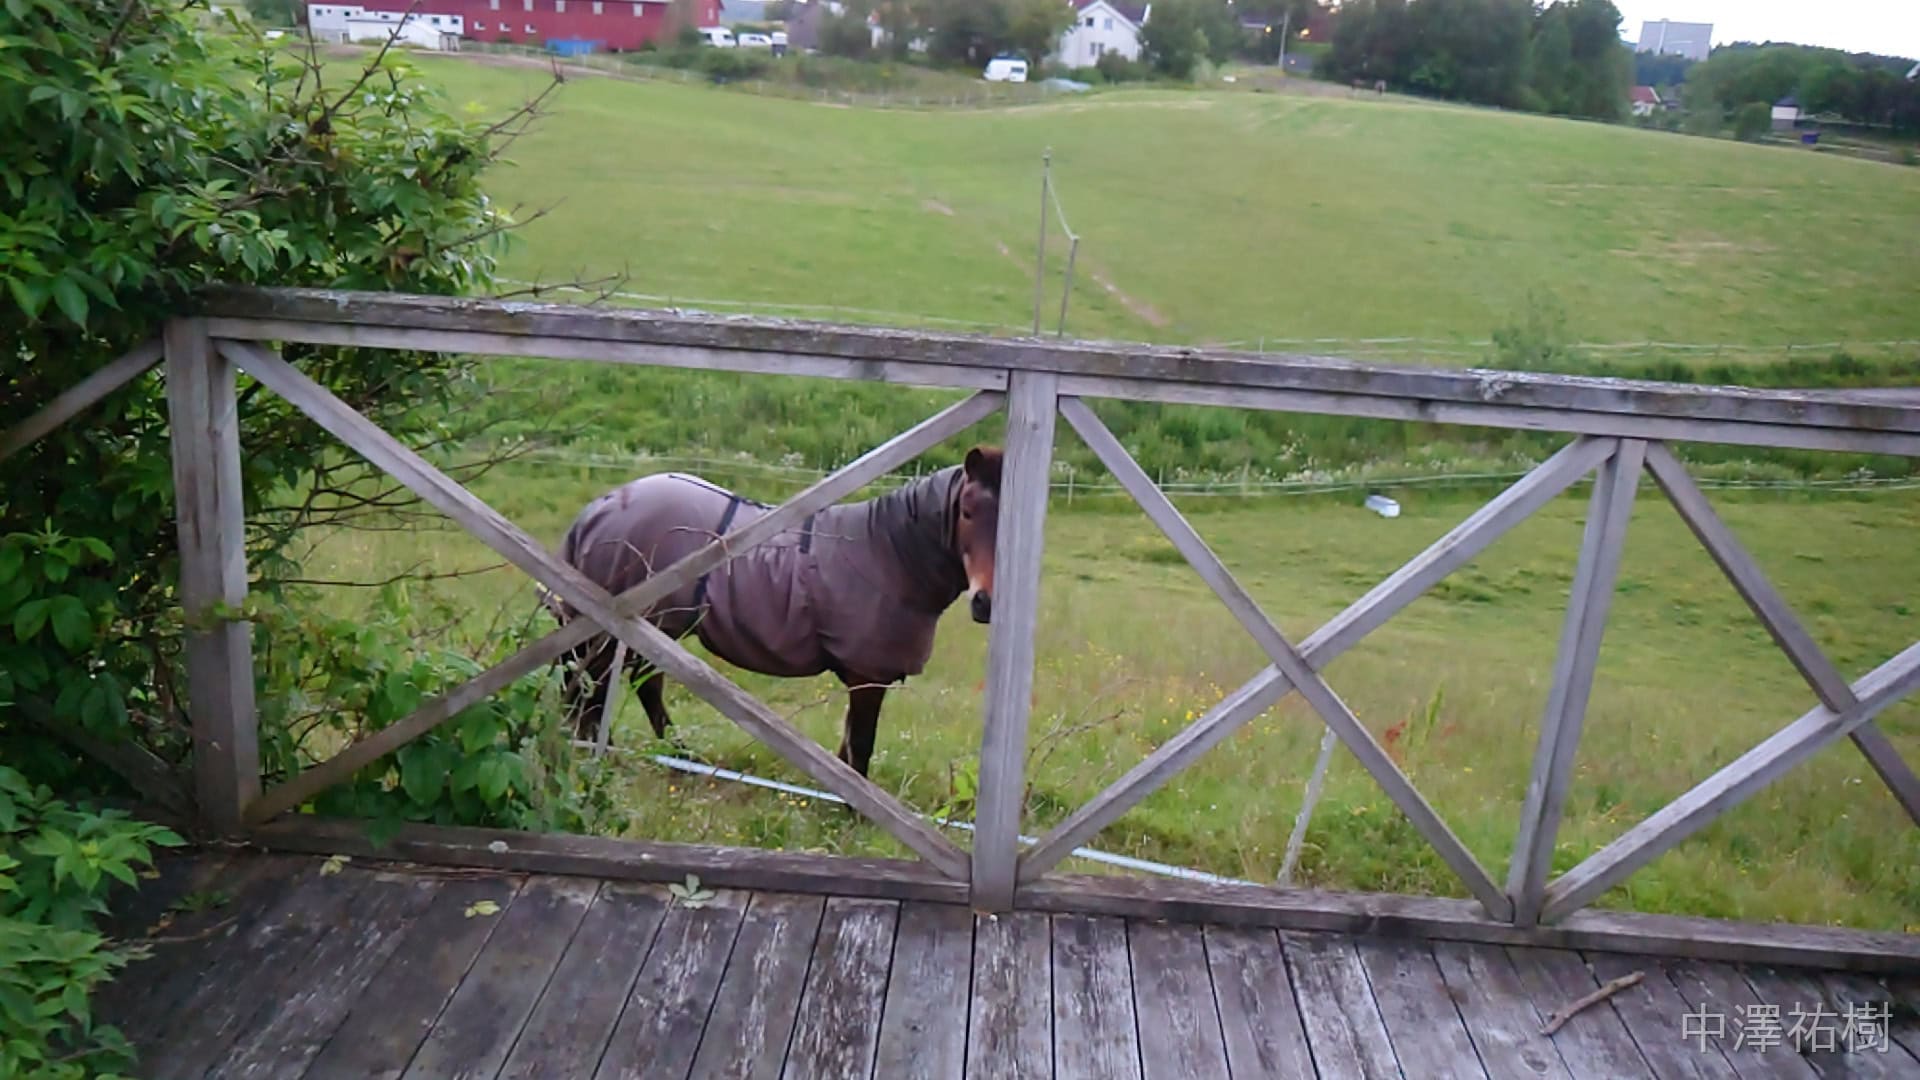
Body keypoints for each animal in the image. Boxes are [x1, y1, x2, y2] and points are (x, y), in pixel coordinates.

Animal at [544, 445, 1004, 778]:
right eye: (966, 511)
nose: (986, 602)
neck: (890, 554)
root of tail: (602, 507)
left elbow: (849, 745)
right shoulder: (867, 676)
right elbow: (860, 745)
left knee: (628, 687)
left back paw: (677, 756)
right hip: (614, 629)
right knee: (597, 692)